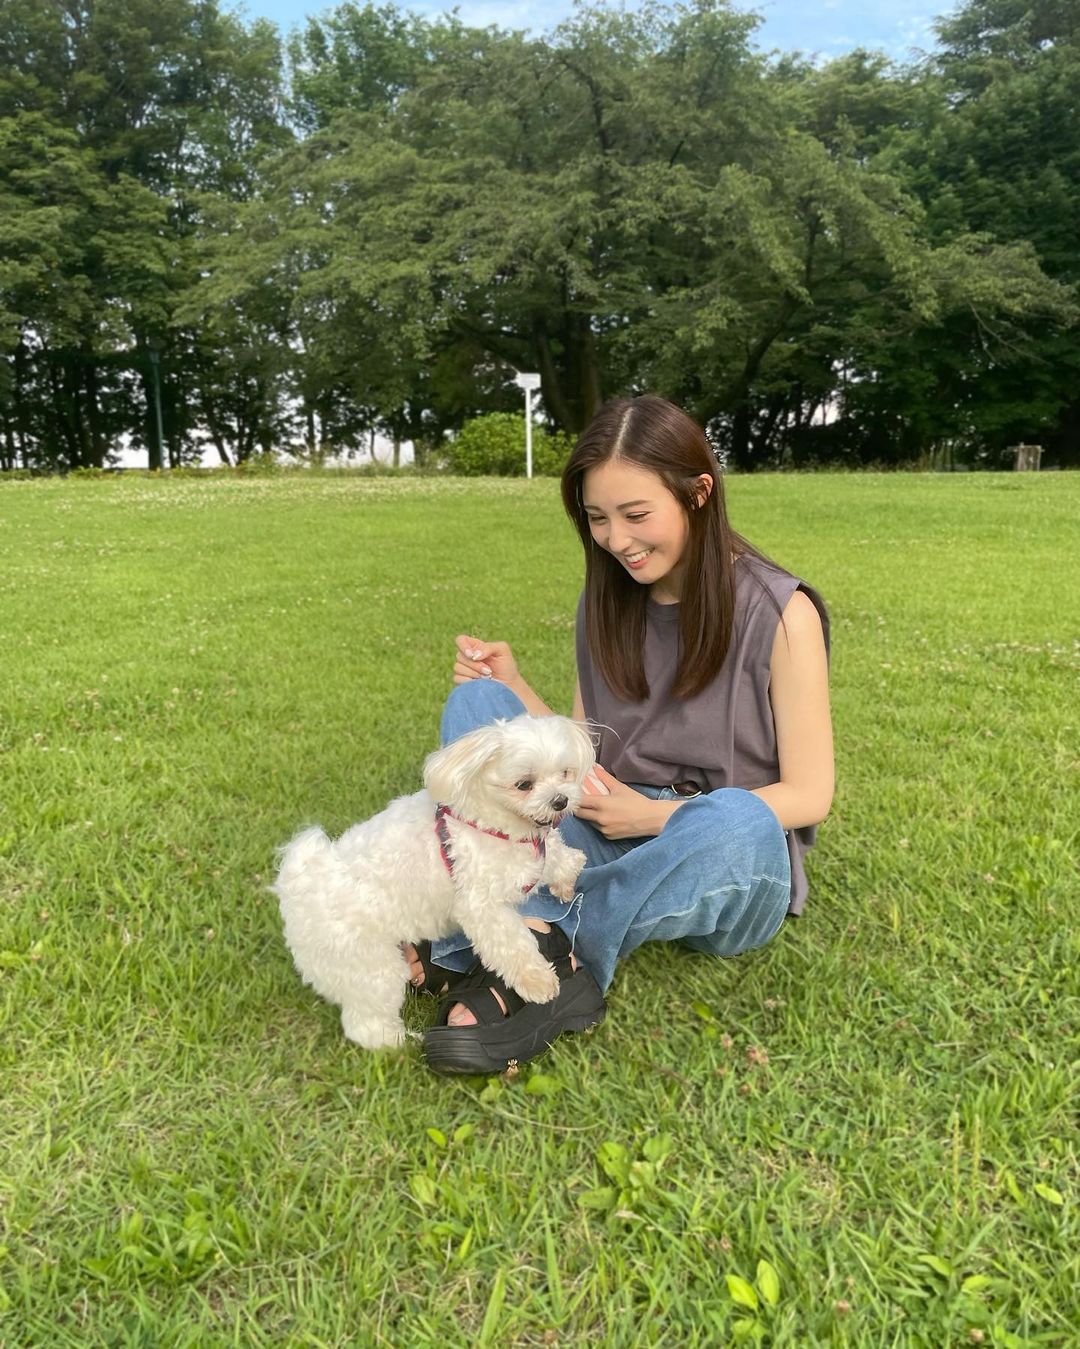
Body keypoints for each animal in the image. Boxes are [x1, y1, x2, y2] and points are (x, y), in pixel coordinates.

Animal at [273, 714, 594, 1049]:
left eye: (565, 772)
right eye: (524, 785)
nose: (560, 800)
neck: (490, 821)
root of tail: (297, 890)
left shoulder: (528, 857)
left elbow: (562, 859)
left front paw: (565, 882)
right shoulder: (482, 907)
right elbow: (513, 945)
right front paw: (538, 981)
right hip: (371, 969)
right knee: (365, 1024)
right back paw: (400, 1043)